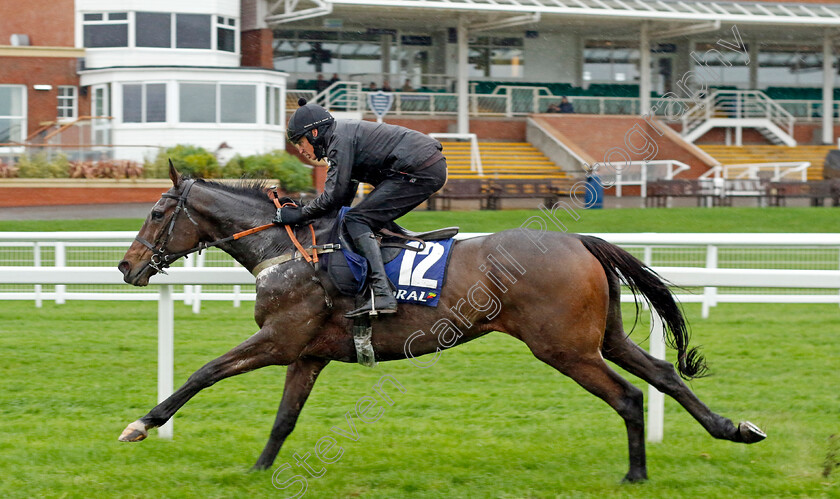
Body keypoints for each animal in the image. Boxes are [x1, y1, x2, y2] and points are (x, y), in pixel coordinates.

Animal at [118, 165, 768, 484]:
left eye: (156, 211)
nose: (126, 266)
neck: (288, 249)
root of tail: (580, 240)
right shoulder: (308, 353)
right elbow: (284, 418)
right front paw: (257, 470)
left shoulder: (278, 341)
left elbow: (204, 372)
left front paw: (142, 424)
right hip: (600, 337)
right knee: (664, 375)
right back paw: (732, 428)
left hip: (565, 349)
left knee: (630, 396)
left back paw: (635, 473)